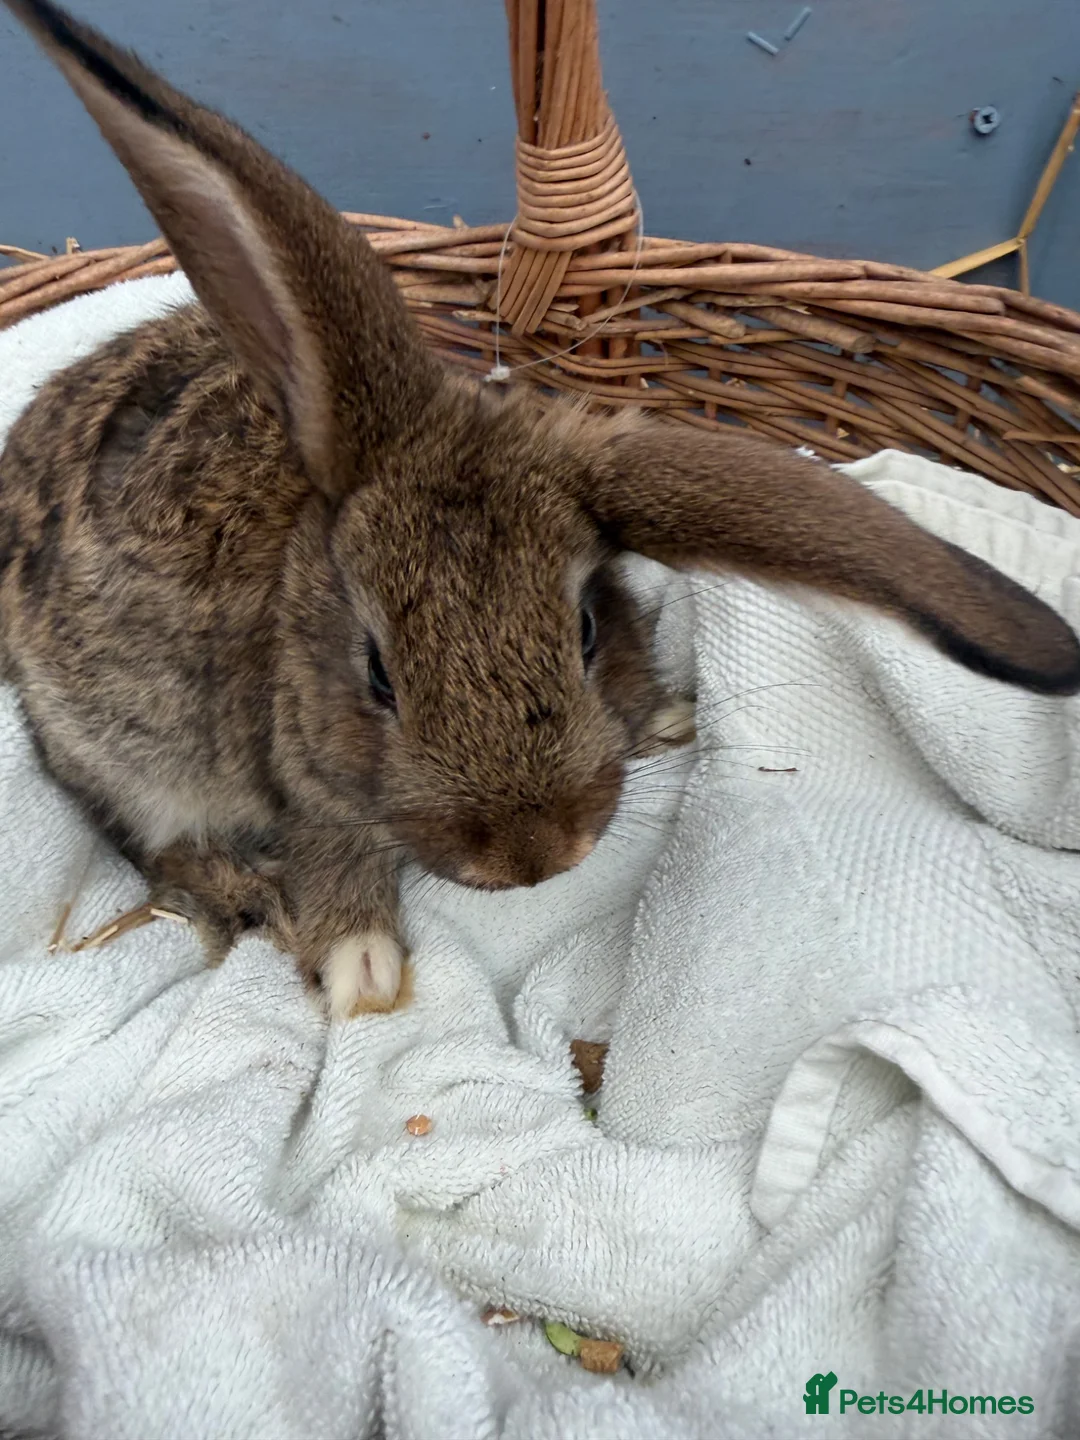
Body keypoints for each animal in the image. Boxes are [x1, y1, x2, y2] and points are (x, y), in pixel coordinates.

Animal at [1, 0, 1078, 1020]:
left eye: (588, 631)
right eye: (378, 676)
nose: (531, 857)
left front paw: (668, 715)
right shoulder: (306, 780)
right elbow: (333, 852)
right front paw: (361, 968)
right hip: (112, 753)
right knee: (146, 838)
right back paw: (238, 891)